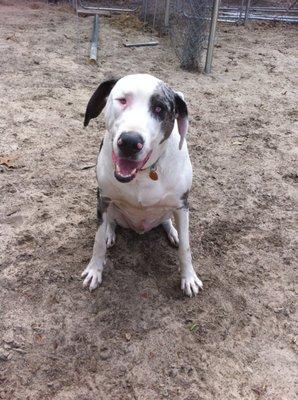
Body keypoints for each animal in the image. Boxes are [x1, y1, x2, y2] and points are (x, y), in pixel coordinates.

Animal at [81, 73, 203, 296]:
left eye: (159, 109)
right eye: (122, 100)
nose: (130, 142)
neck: (144, 173)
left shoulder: (182, 204)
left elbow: (186, 247)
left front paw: (189, 277)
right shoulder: (103, 198)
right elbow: (98, 240)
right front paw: (94, 270)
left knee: (167, 221)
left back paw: (173, 232)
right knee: (111, 222)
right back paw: (110, 233)